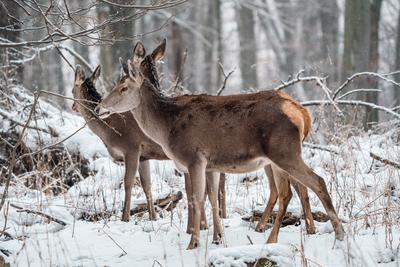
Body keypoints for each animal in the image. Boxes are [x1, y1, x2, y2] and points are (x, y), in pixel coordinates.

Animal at [72, 65, 225, 230]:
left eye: (72, 90)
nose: (72, 106)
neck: (109, 129)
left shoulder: (131, 147)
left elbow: (128, 182)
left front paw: (125, 218)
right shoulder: (144, 156)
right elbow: (147, 184)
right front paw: (153, 217)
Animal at [97, 38, 344, 250]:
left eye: (123, 87)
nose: (99, 107)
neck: (167, 127)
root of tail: (302, 114)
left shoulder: (194, 159)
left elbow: (197, 199)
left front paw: (193, 242)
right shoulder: (212, 165)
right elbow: (213, 199)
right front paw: (218, 238)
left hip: (285, 152)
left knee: (317, 181)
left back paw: (339, 234)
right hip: (278, 158)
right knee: (286, 193)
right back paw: (272, 240)